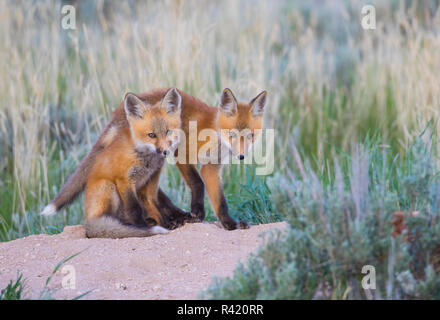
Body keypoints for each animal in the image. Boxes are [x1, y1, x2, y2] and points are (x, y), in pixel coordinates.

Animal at [39, 87, 187, 238]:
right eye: (151, 135)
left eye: (168, 131)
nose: (165, 152)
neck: (145, 159)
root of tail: (88, 223)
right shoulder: (124, 180)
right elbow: (134, 208)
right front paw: (141, 227)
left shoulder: (151, 178)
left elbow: (153, 203)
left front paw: (163, 223)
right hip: (108, 186)